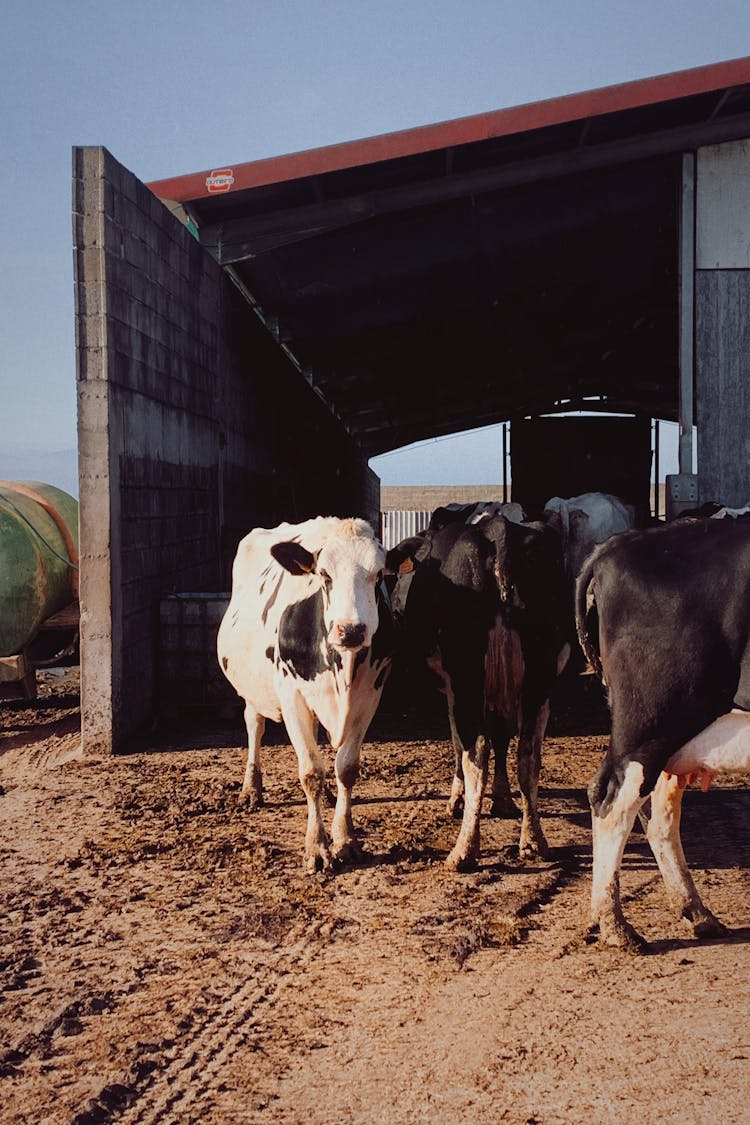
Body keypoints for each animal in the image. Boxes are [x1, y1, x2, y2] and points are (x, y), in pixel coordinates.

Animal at [217, 515, 393, 873]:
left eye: (379, 574)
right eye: (324, 574)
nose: (350, 630)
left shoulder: (371, 695)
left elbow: (346, 767)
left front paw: (346, 839)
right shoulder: (292, 696)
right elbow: (311, 771)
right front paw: (317, 847)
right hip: (253, 689)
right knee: (254, 725)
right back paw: (251, 789)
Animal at [386, 515, 568, 868]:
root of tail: (499, 528)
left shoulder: (454, 690)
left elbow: (459, 743)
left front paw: (458, 801)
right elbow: (502, 739)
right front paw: (503, 799)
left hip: (468, 676)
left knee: (475, 752)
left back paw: (464, 850)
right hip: (540, 680)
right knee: (528, 755)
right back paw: (534, 841)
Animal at [575, 517, 750, 949]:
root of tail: (620, 542)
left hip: (673, 741)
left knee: (658, 814)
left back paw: (696, 912)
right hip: (650, 724)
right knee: (613, 802)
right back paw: (616, 926)